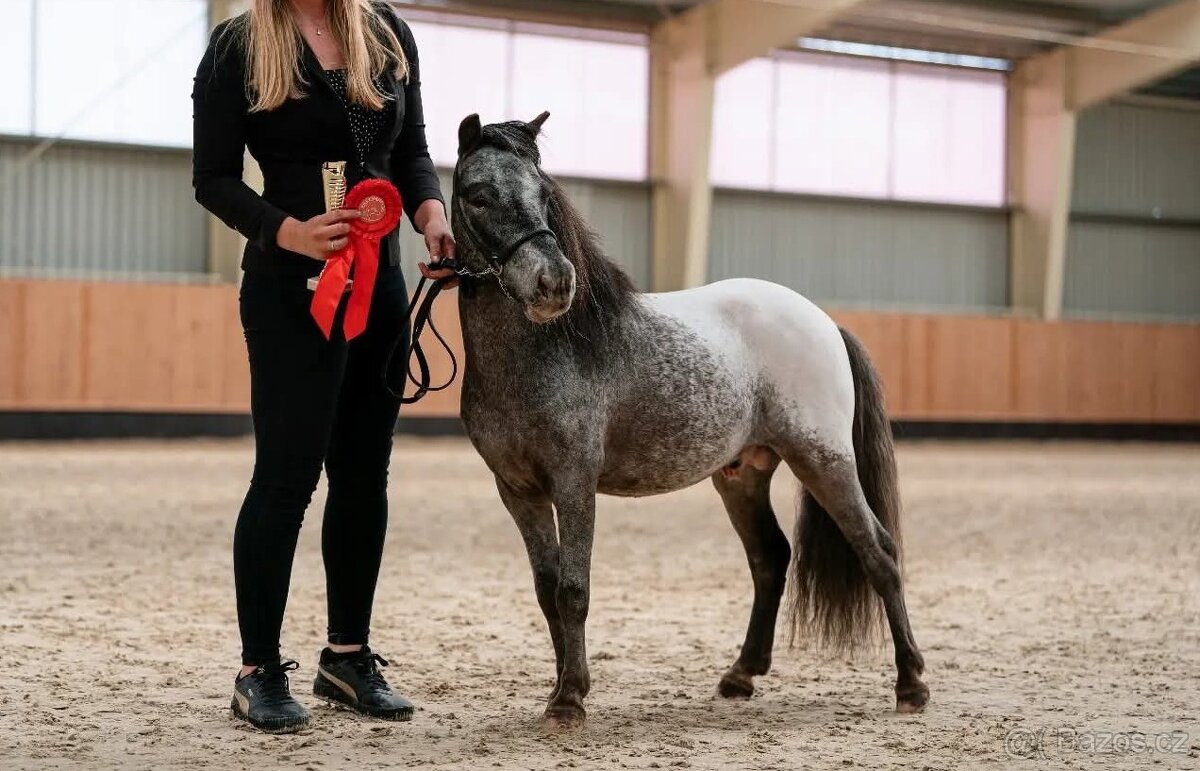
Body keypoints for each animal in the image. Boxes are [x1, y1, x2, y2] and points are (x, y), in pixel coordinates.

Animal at [447, 112, 928, 728]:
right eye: (478, 195)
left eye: (543, 194)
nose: (553, 282)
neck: (544, 348)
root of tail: (822, 320)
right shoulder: (518, 491)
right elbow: (546, 588)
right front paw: (558, 691)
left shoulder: (574, 482)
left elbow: (573, 589)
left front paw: (572, 696)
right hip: (743, 475)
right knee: (770, 558)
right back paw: (740, 675)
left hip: (825, 461)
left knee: (879, 553)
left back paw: (911, 683)